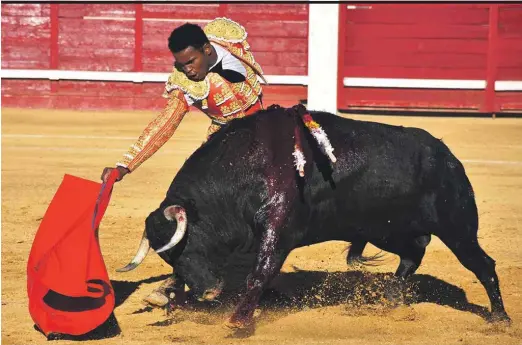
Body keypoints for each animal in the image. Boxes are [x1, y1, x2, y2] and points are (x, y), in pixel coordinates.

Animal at [118, 105, 508, 328]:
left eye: (185, 246)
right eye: (169, 257)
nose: (207, 293)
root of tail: (447, 156)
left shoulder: (278, 228)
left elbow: (260, 273)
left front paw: (237, 321)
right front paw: (169, 295)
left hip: (457, 227)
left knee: (482, 265)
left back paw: (500, 319)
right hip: (386, 229)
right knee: (413, 254)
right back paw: (393, 301)